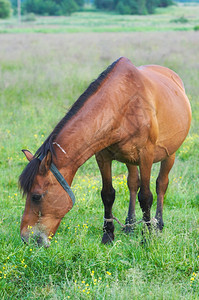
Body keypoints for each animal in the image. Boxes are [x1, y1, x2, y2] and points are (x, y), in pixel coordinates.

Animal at [18, 56, 191, 246]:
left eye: (36, 196)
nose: (26, 238)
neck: (122, 104)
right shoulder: (103, 156)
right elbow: (108, 194)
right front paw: (108, 236)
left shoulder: (146, 155)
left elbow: (146, 197)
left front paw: (146, 239)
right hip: (131, 160)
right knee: (133, 183)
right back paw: (129, 225)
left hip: (169, 154)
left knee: (161, 185)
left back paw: (158, 225)